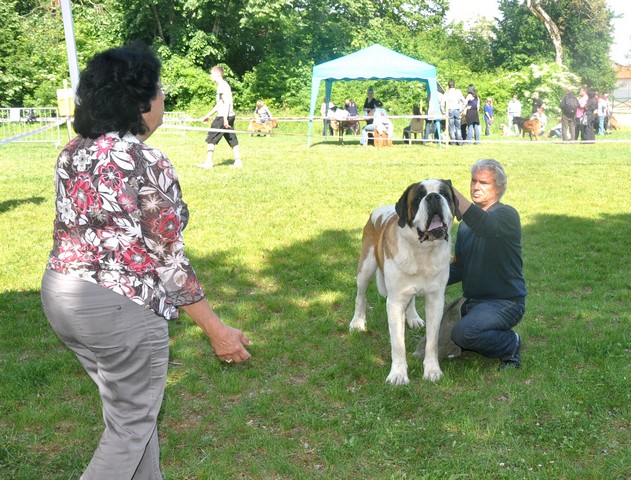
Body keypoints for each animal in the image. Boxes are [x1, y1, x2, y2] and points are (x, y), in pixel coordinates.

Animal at [348, 178, 462, 384]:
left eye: (444, 193)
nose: (433, 197)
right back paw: (357, 322)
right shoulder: (394, 303)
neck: (422, 251)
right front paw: (398, 375)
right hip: (365, 266)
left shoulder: (435, 300)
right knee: (360, 295)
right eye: (418, 198)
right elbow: (398, 343)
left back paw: (413, 318)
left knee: (412, 299)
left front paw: (432, 370)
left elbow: (432, 340)